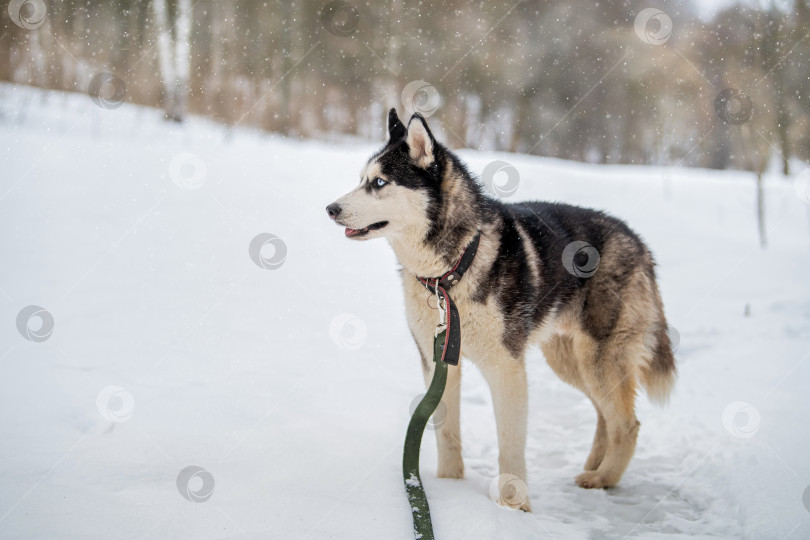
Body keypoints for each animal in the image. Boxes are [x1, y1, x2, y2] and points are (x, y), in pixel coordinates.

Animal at [326, 109, 672, 510]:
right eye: (361, 180)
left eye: (379, 182)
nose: (330, 209)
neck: (451, 272)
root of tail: (638, 242)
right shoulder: (438, 362)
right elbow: (447, 434)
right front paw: (449, 487)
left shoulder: (505, 367)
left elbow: (510, 446)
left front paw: (514, 507)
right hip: (568, 360)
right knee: (606, 415)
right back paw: (594, 467)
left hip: (597, 359)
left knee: (627, 424)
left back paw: (603, 479)